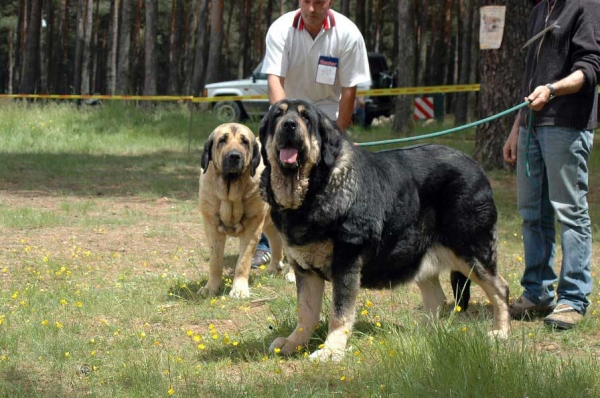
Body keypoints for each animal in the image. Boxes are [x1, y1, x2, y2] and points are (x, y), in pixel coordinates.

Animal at [198, 123, 284, 296]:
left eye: (244, 142)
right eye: (222, 140)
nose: (234, 156)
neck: (230, 190)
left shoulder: (253, 227)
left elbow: (243, 262)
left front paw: (239, 290)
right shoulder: (212, 227)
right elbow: (215, 262)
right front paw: (211, 288)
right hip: (269, 223)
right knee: (276, 242)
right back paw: (273, 269)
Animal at [258, 98, 510, 360]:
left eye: (306, 118)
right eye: (277, 115)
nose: (289, 125)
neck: (312, 192)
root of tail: (476, 167)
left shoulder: (346, 263)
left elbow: (339, 312)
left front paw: (331, 350)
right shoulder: (305, 270)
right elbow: (306, 312)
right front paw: (294, 343)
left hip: (470, 252)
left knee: (500, 289)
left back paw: (500, 332)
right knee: (438, 300)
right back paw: (423, 334)